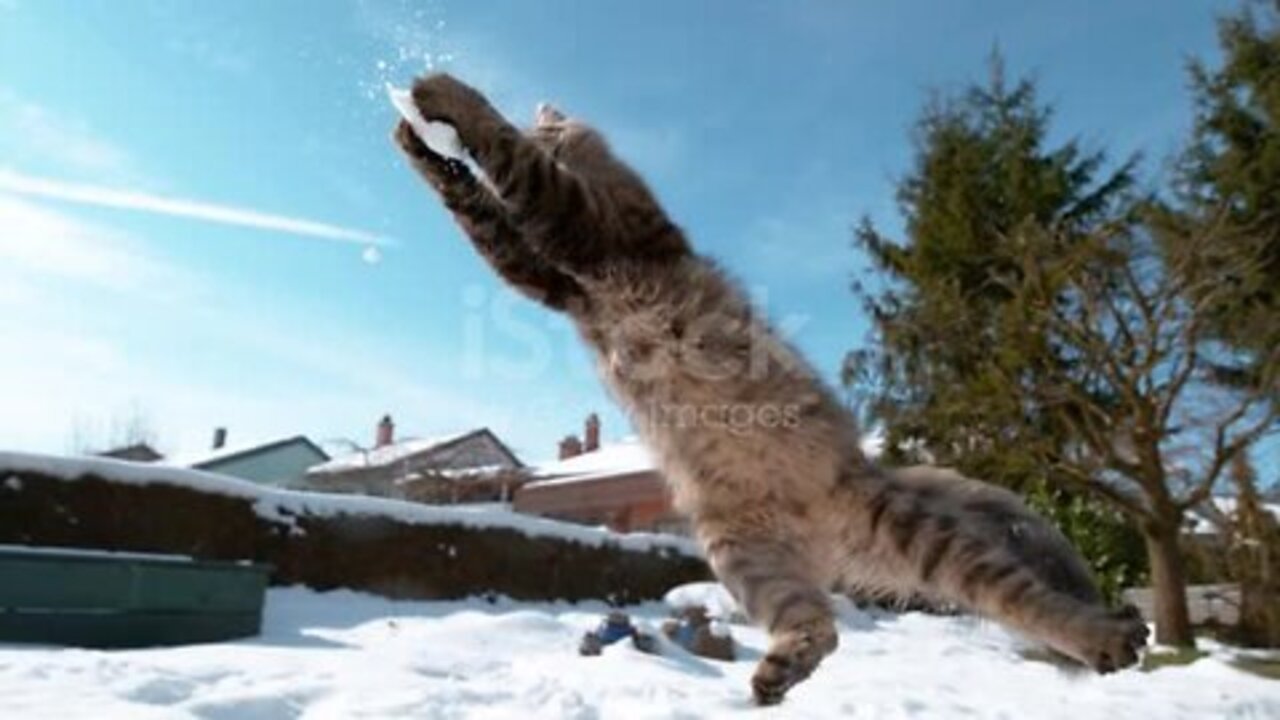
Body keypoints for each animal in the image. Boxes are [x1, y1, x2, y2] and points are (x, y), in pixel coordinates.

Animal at [391, 73, 1152, 702]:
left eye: (552, 129)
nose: (551, 128)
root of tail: (862, 472)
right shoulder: (552, 275)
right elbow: (480, 210)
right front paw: (418, 141)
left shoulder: (586, 231)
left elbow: (507, 159)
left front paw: (446, 101)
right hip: (747, 560)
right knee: (821, 626)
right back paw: (777, 673)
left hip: (927, 545)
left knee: (1023, 602)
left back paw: (1110, 637)